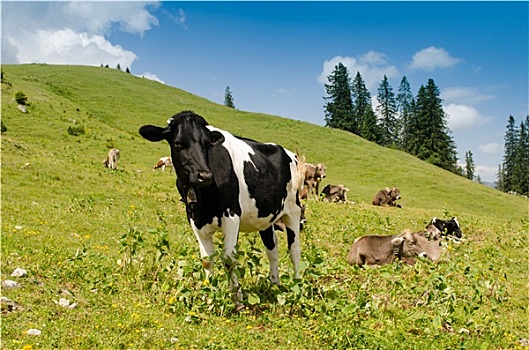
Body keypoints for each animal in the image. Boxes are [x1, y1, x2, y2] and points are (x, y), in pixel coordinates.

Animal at [139, 110, 306, 310]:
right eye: (178, 143)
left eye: (207, 144)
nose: (205, 175)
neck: (204, 198)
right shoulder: (194, 218)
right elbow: (206, 260)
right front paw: (208, 297)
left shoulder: (232, 216)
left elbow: (228, 258)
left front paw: (238, 301)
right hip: (266, 217)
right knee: (272, 248)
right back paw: (275, 284)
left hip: (293, 210)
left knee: (294, 250)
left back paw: (297, 288)